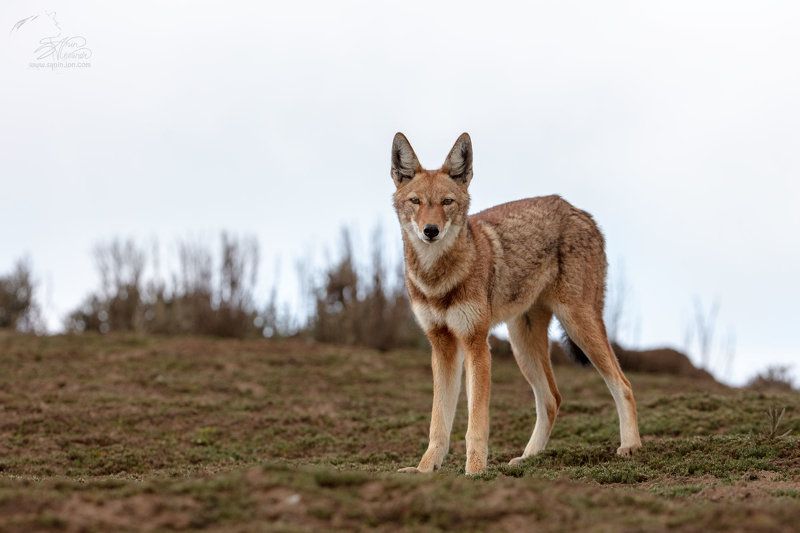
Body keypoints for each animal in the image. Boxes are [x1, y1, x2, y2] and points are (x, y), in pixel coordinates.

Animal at [391, 132, 642, 475]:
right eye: (416, 202)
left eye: (447, 202)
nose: (431, 231)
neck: (437, 278)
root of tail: (579, 211)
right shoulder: (442, 346)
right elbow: (438, 422)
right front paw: (425, 469)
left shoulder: (476, 344)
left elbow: (476, 422)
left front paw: (475, 471)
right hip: (522, 344)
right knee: (552, 399)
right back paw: (527, 458)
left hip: (578, 325)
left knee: (623, 383)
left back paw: (631, 446)